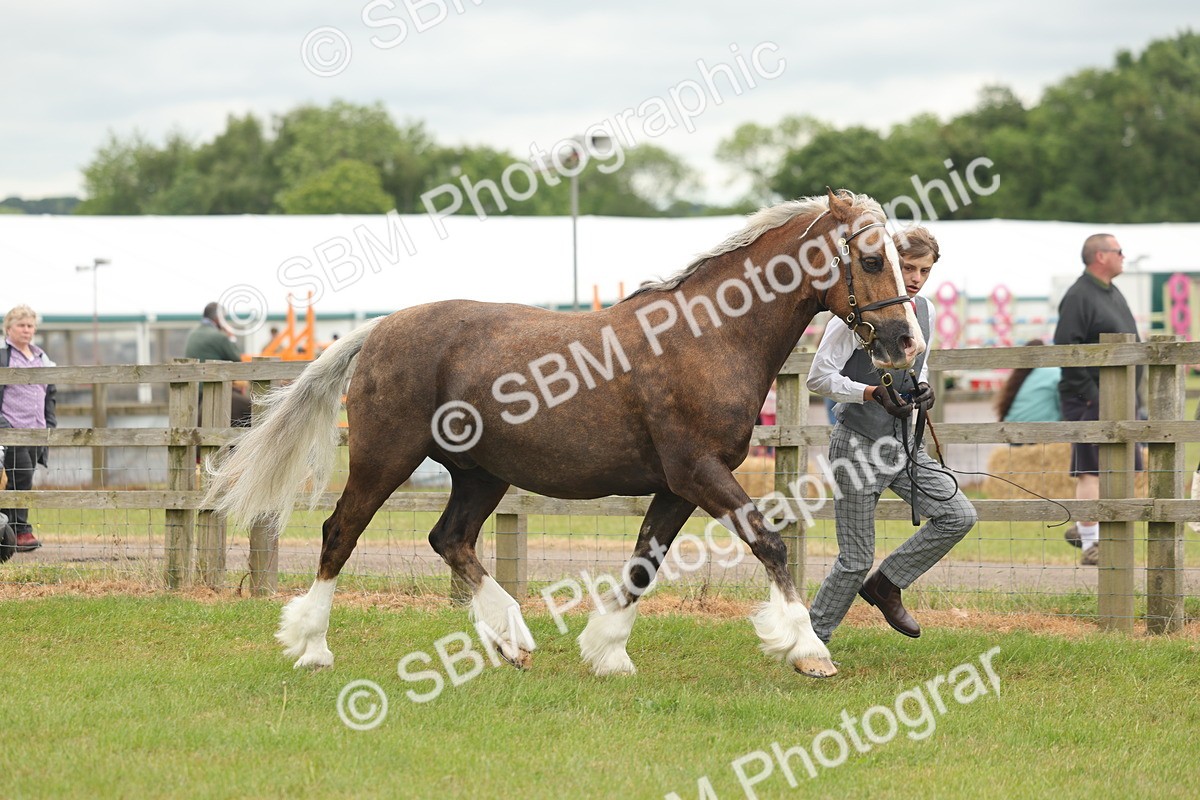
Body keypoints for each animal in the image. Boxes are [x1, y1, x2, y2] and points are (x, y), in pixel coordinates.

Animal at [206, 188, 924, 680]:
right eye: (869, 259)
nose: (904, 344)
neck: (708, 337)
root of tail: (380, 328)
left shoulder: (678, 486)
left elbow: (643, 563)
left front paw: (606, 652)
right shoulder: (699, 472)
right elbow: (769, 544)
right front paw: (806, 650)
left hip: (479, 474)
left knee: (450, 540)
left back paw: (512, 640)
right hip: (387, 458)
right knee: (341, 532)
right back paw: (311, 644)